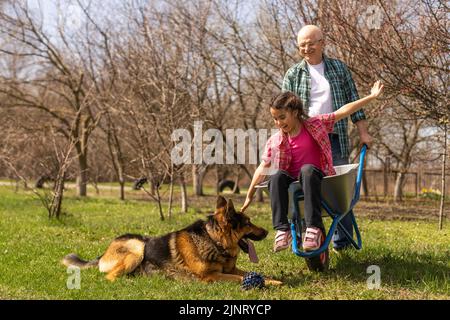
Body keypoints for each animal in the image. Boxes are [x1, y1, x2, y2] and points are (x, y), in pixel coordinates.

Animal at [62, 196, 284, 286]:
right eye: (248, 222)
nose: (268, 231)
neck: (214, 241)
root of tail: (102, 254)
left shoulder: (231, 269)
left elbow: (256, 274)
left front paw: (272, 280)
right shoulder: (211, 277)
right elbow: (239, 279)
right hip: (138, 246)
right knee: (110, 277)